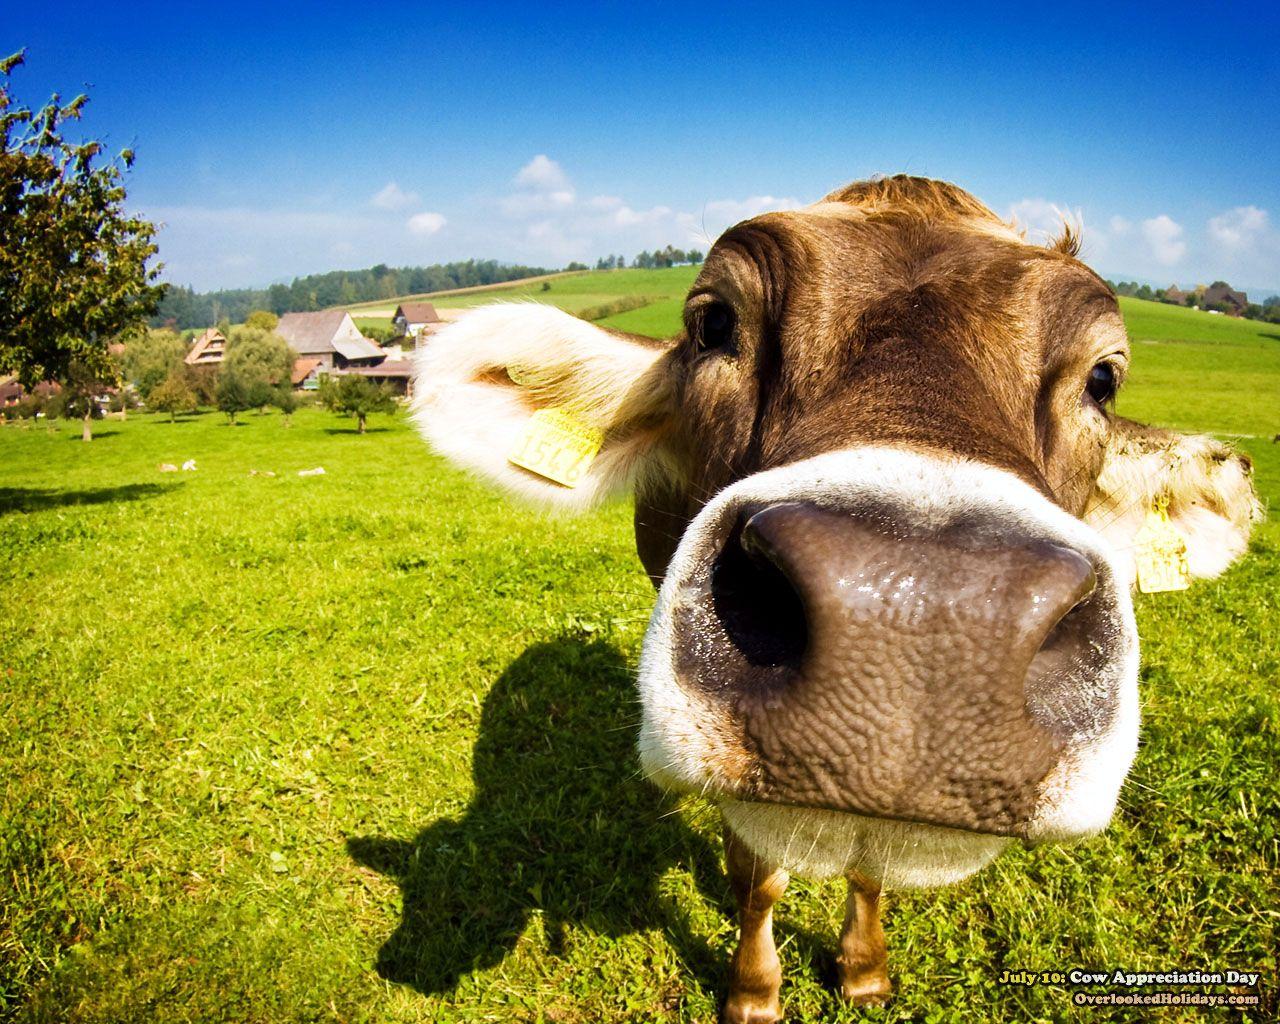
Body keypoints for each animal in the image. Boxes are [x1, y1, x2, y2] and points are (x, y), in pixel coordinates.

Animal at [409, 176, 1259, 1022]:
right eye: (714, 322)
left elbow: (868, 869)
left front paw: (864, 969)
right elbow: (759, 877)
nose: (924, 612)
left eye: (1103, 378)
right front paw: (754, 991)